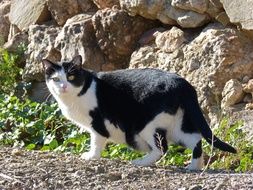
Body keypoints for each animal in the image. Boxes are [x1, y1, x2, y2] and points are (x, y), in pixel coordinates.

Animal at [42, 55, 236, 171]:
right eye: (56, 79)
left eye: (71, 77)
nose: (63, 86)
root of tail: (182, 83)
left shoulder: (97, 123)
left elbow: (96, 141)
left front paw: (92, 157)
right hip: (176, 124)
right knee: (195, 140)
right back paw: (194, 167)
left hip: (147, 124)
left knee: (162, 148)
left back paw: (140, 162)